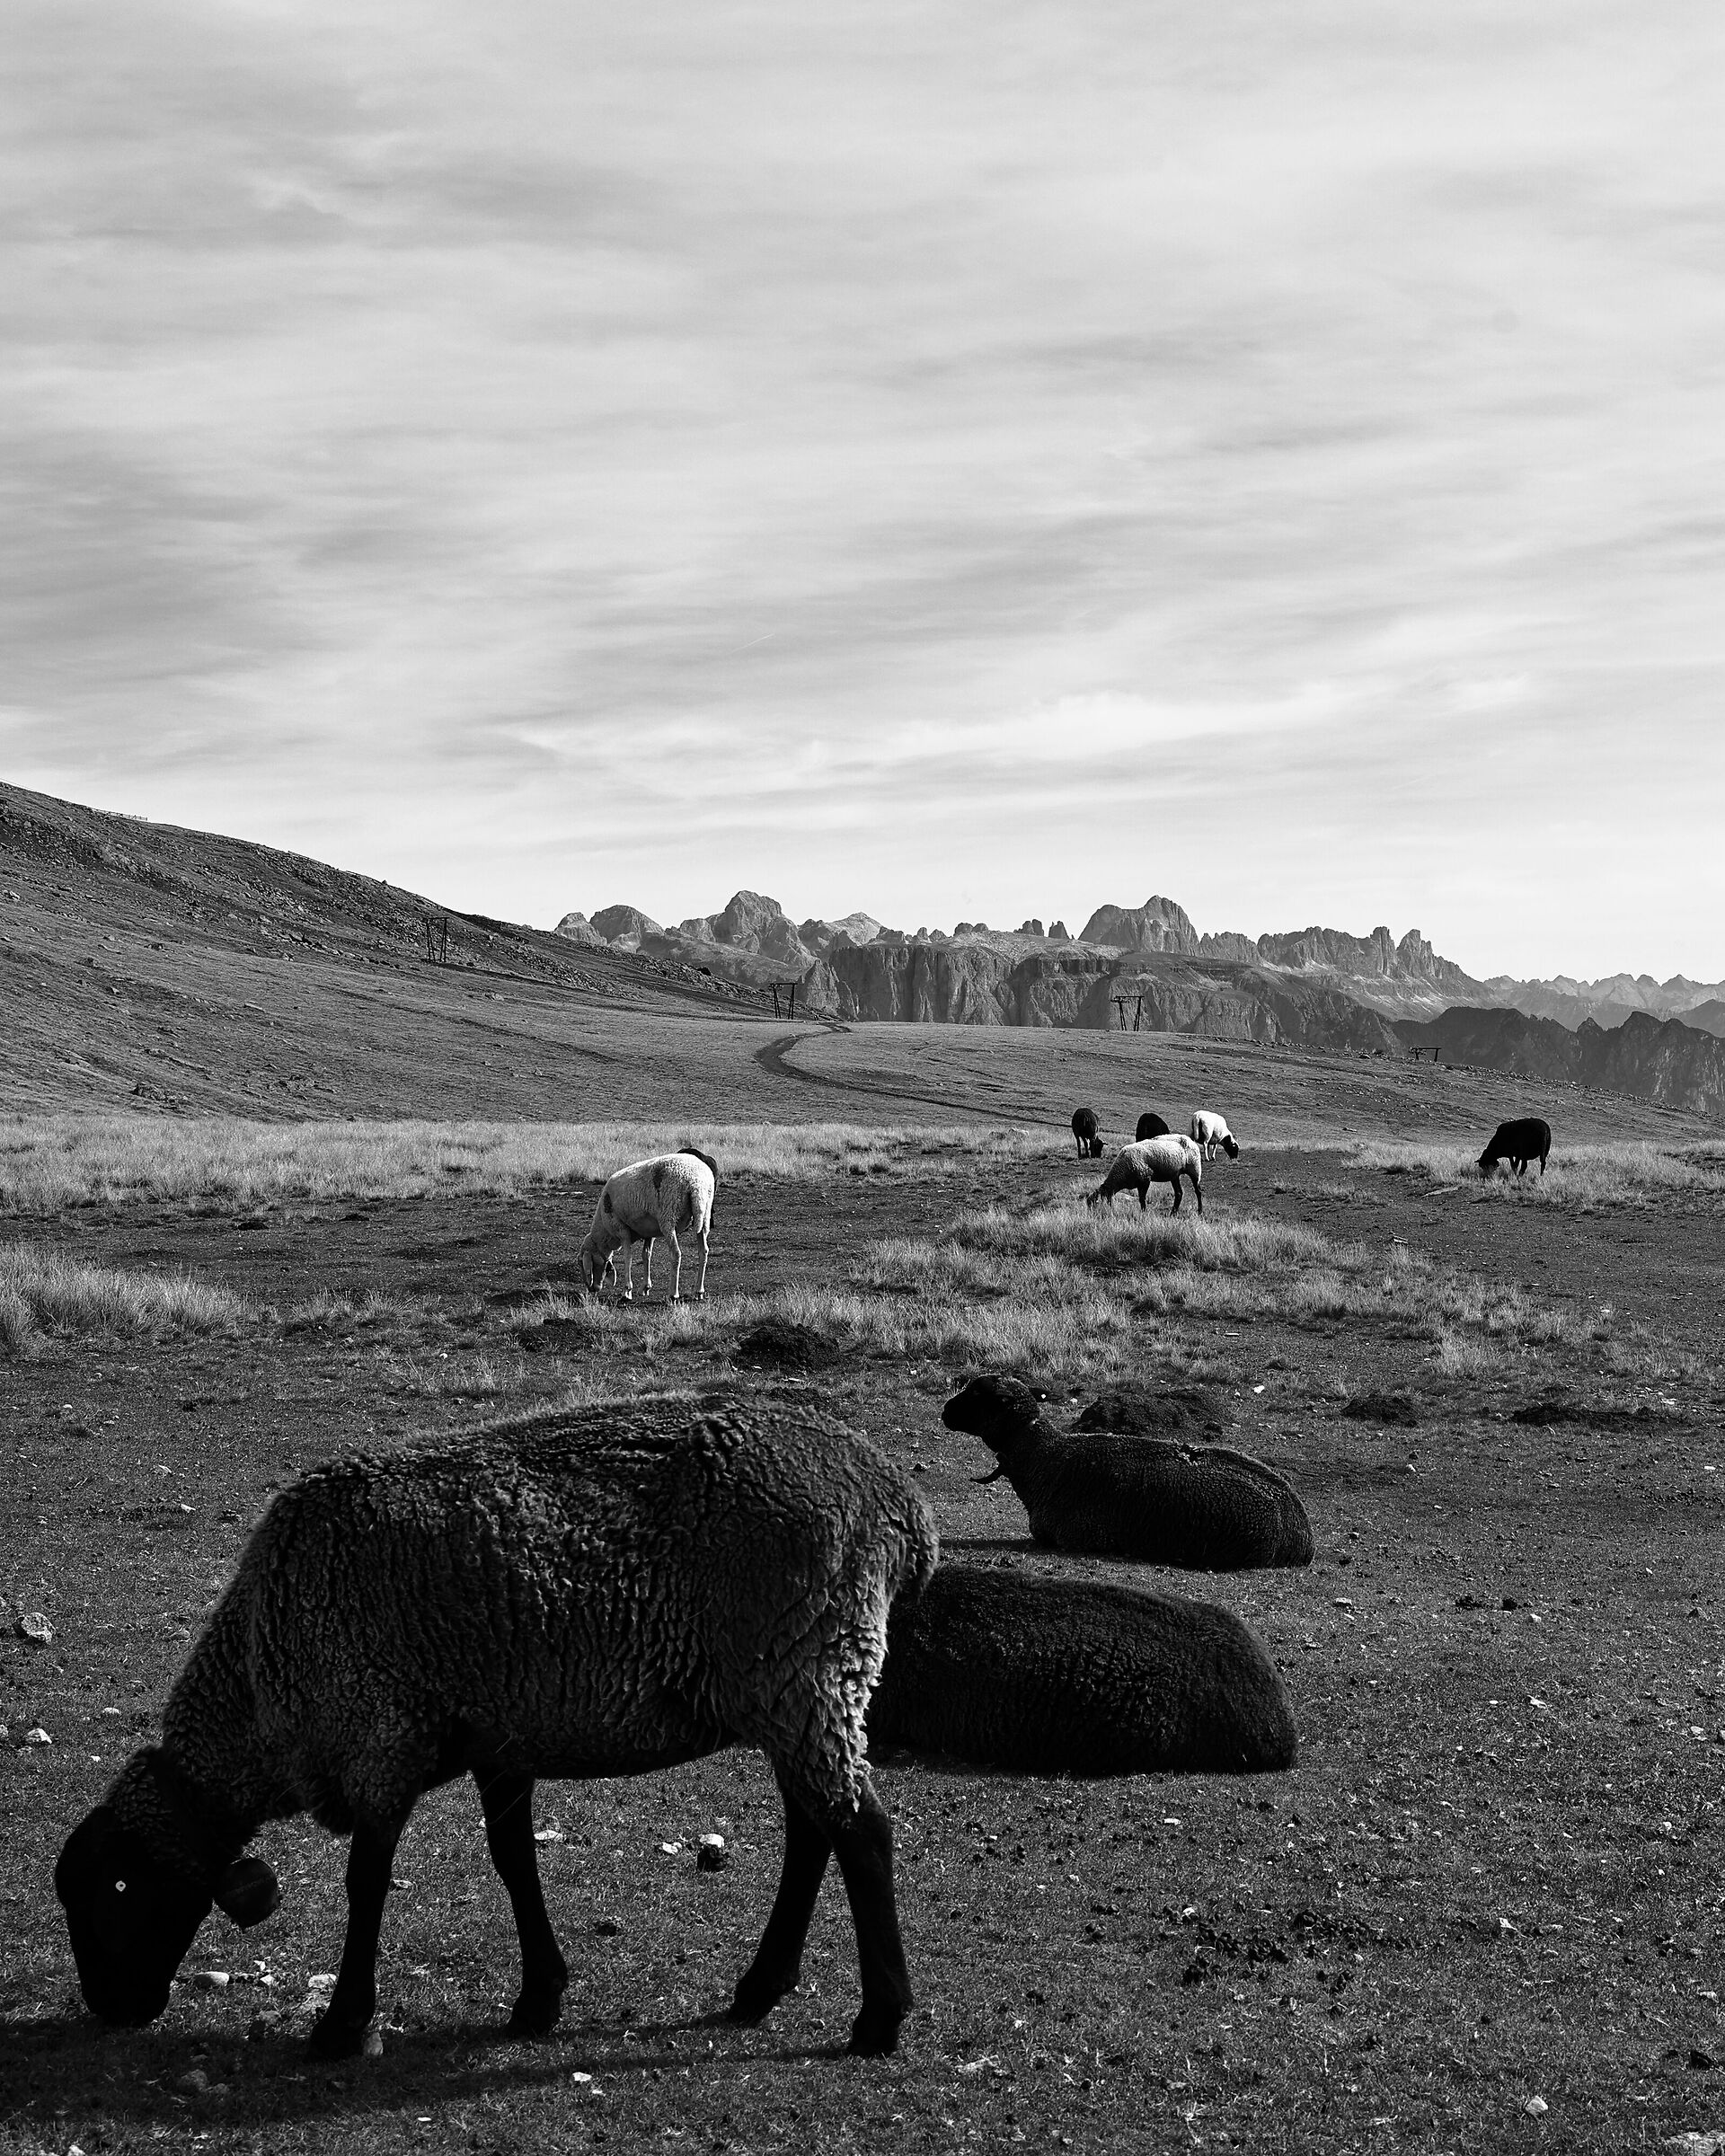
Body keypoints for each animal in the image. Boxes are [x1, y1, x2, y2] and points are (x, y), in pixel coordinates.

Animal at [55, 1393, 938, 2060]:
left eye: (119, 1886)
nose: (108, 2007)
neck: (258, 1674)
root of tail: (896, 1498)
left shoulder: (380, 1738)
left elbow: (367, 1882)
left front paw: (344, 2025)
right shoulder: (501, 1740)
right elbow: (514, 1863)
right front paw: (538, 1998)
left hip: (808, 1666)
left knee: (861, 1830)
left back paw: (879, 2019)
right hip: (791, 1686)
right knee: (814, 1829)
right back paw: (759, 1989)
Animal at [579, 1147, 716, 1300]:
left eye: (583, 1264)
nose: (591, 1289)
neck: (605, 1233)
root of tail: (696, 1182)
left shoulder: (621, 1229)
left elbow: (628, 1257)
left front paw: (627, 1291)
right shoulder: (649, 1231)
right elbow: (646, 1255)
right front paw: (645, 1287)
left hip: (668, 1216)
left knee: (676, 1253)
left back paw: (673, 1294)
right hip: (704, 1214)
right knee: (703, 1251)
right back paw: (698, 1291)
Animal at [1087, 1133, 1203, 1214]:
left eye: (1095, 1204)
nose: (1093, 1216)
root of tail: (1190, 1140)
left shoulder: (1145, 1179)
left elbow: (1142, 1199)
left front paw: (1144, 1213)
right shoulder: (1139, 1182)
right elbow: (1141, 1199)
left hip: (1195, 1169)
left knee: (1198, 1191)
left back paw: (1200, 1211)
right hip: (1174, 1175)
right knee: (1179, 1193)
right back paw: (1172, 1213)